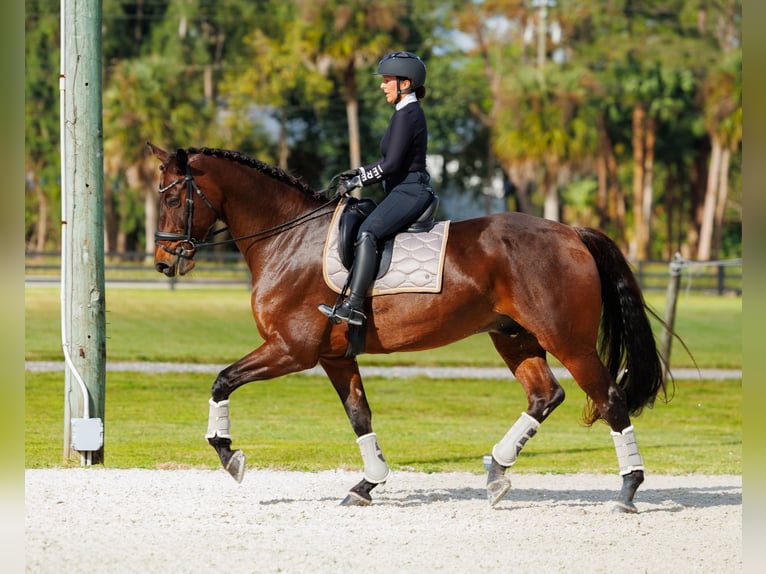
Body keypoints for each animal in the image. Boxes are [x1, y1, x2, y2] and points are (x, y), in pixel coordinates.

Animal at [148, 142, 668, 513]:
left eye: (173, 197)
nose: (164, 262)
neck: (288, 237)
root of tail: (571, 232)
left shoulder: (290, 350)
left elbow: (222, 381)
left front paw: (228, 455)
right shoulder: (334, 357)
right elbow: (359, 416)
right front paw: (366, 485)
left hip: (569, 341)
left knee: (610, 399)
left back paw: (628, 489)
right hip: (514, 337)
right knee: (545, 395)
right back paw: (497, 474)